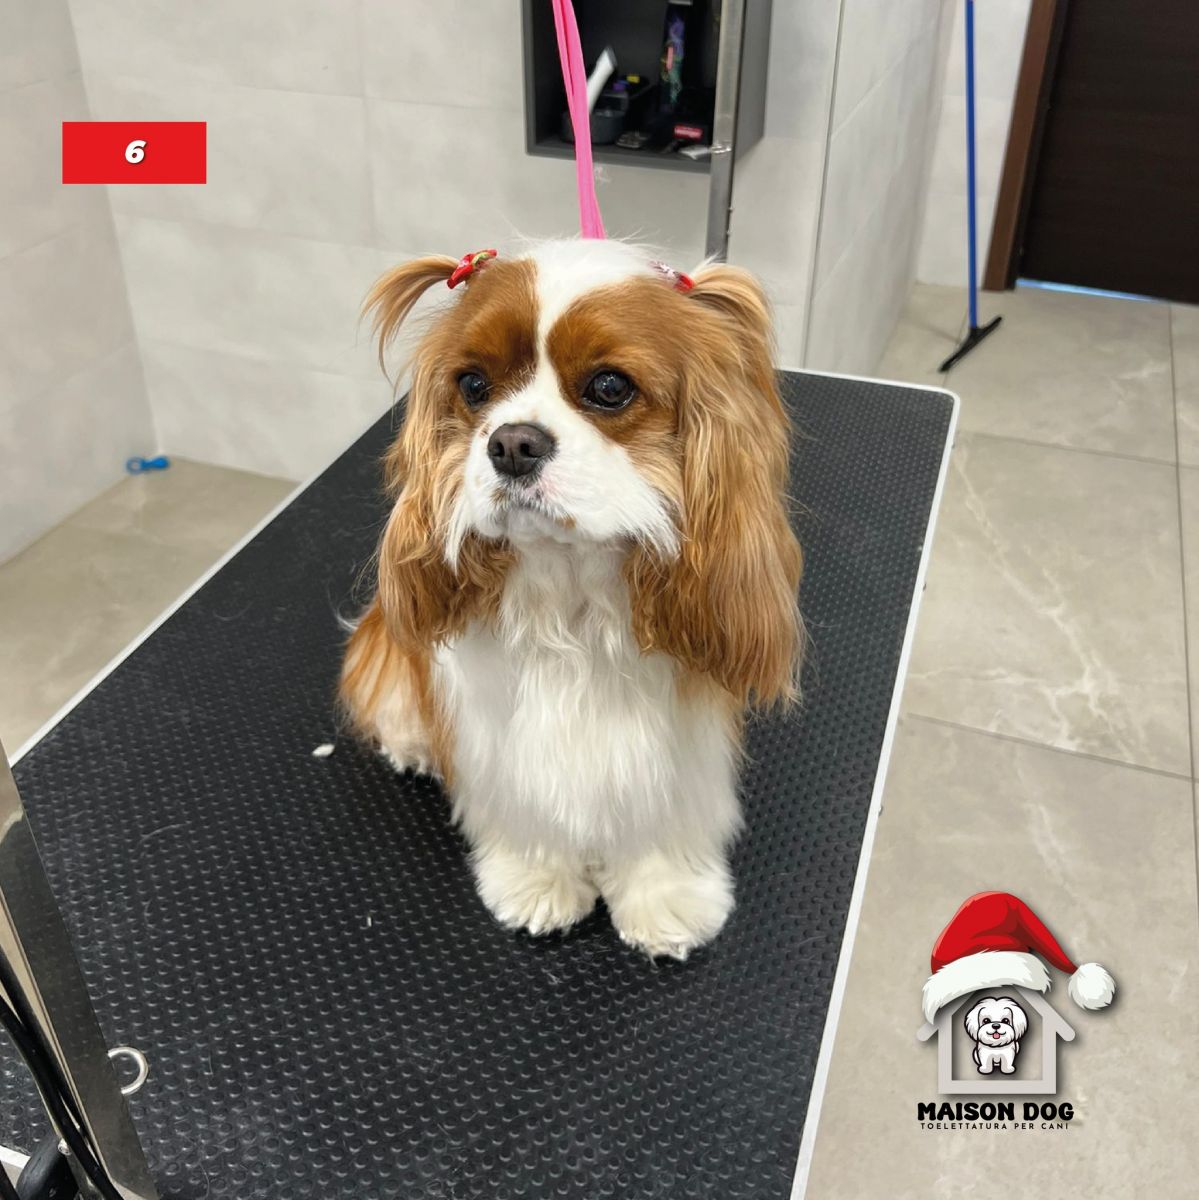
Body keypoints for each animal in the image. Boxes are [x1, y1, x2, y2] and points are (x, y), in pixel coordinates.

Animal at [340, 239, 803, 960]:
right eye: (473, 385)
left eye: (609, 388)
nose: (511, 443)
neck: (572, 591)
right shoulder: (502, 736)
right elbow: (525, 803)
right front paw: (536, 880)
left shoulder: (677, 737)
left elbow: (660, 812)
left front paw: (665, 893)